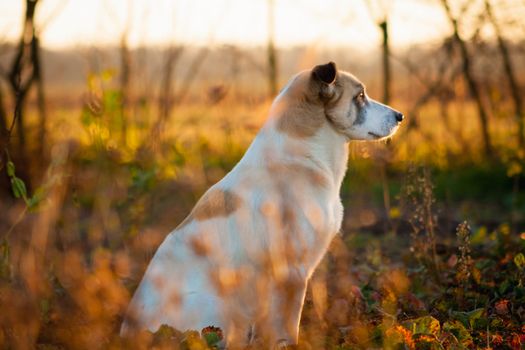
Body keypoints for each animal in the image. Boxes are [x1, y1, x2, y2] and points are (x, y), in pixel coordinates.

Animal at [121, 62, 404, 348]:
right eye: (360, 96)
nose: (400, 116)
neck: (301, 156)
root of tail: (128, 334)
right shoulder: (293, 272)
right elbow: (289, 327)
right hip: (219, 303)